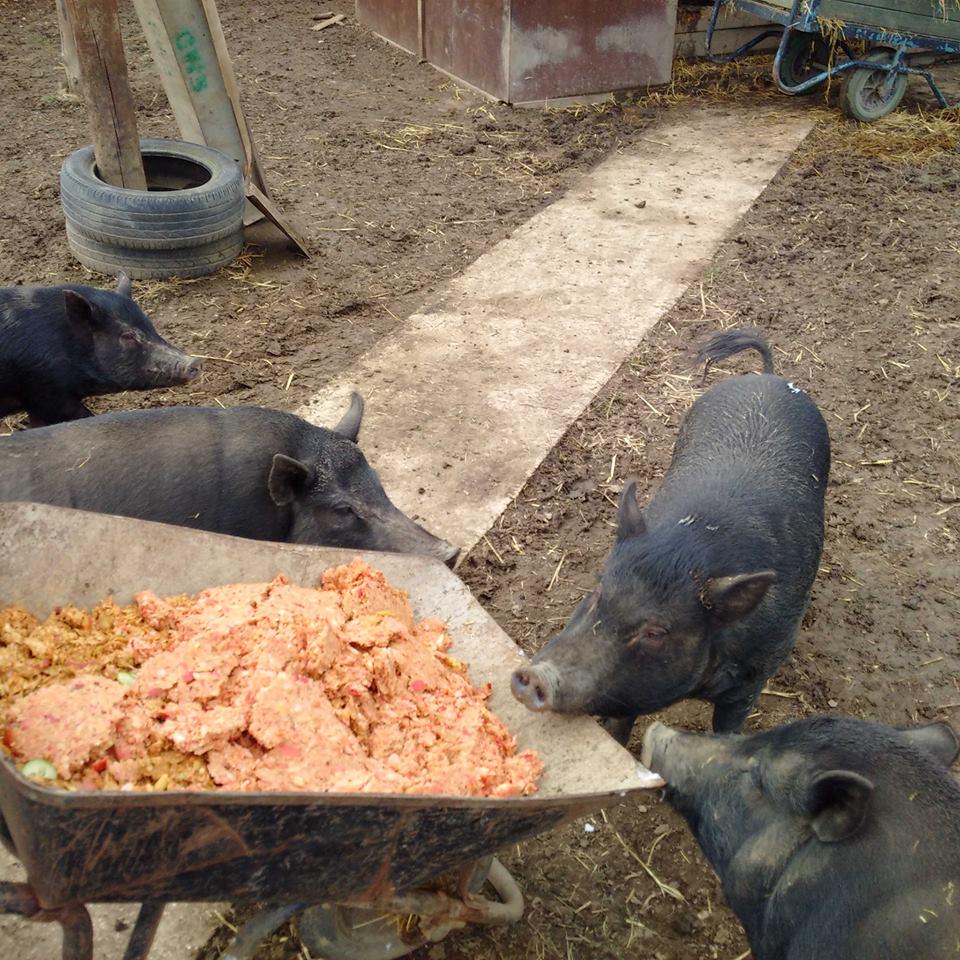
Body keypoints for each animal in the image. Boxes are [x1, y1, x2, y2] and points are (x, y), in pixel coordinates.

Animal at [512, 330, 830, 741]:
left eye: (656, 632)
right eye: (597, 593)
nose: (535, 676)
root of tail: (769, 378)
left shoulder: (754, 678)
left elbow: (727, 729)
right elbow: (619, 726)